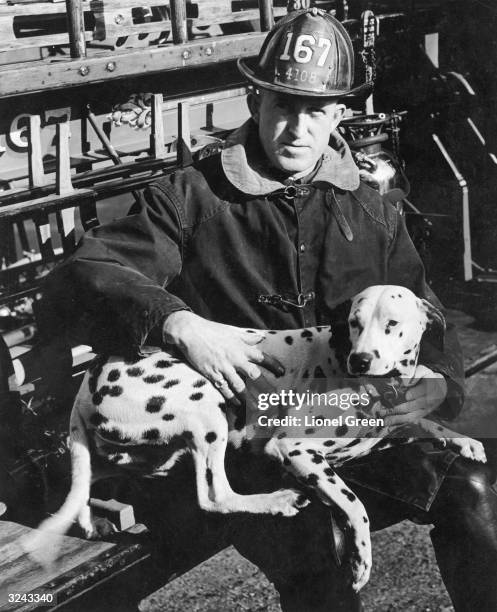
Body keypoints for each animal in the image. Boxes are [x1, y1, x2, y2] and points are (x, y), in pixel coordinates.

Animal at [23, 286, 484, 592]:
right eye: (355, 323)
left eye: (392, 325)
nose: (361, 358)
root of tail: (90, 374)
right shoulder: (295, 448)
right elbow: (356, 504)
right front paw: (361, 561)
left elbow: (424, 425)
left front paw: (460, 439)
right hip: (206, 406)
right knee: (214, 495)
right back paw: (276, 500)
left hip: (148, 453)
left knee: (91, 477)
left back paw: (89, 516)